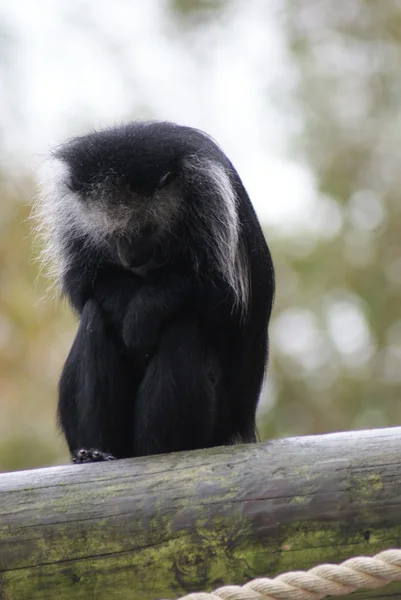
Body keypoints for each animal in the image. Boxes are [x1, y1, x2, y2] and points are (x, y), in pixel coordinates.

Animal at [36, 119, 276, 462]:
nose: (129, 259)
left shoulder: (212, 200)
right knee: (95, 316)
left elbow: (223, 299)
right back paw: (96, 452)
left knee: (185, 324)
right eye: (110, 238)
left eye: (146, 230)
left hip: (215, 419)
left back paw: (163, 449)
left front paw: (141, 317)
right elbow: (83, 286)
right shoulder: (71, 219)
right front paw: (125, 306)